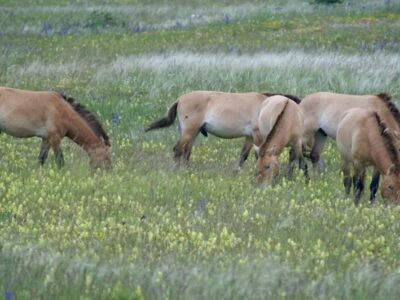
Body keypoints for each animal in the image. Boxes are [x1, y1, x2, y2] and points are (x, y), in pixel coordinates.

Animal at [145, 90, 300, 168]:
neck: (267, 107)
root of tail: (180, 99)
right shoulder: (257, 136)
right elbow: (257, 155)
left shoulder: (250, 137)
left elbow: (243, 155)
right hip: (189, 132)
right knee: (178, 150)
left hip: (193, 132)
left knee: (186, 152)